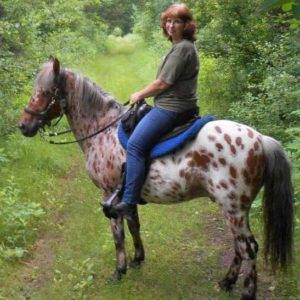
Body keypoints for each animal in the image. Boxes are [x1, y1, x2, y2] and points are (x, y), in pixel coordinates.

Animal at [17, 57, 294, 298]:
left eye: (45, 92)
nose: (23, 125)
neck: (102, 129)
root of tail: (261, 140)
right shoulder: (126, 196)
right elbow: (134, 225)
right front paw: (138, 259)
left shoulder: (108, 194)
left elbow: (118, 235)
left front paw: (119, 271)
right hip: (233, 210)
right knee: (239, 247)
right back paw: (226, 282)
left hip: (234, 209)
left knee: (248, 248)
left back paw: (247, 292)